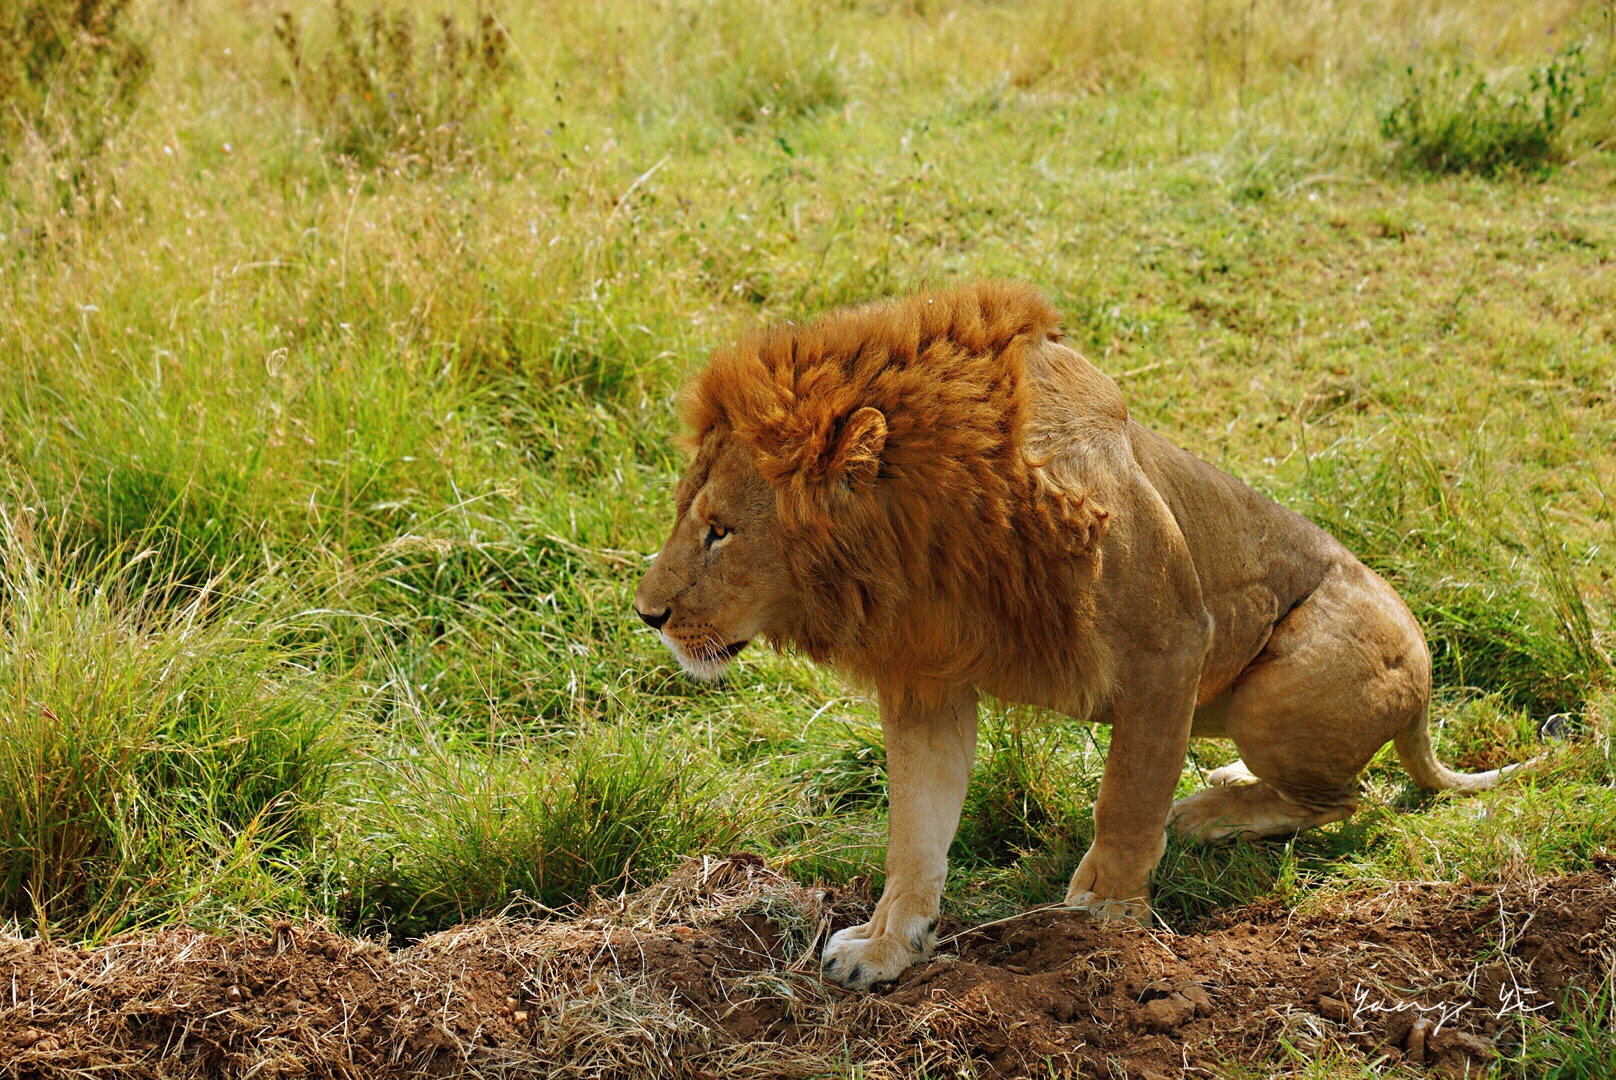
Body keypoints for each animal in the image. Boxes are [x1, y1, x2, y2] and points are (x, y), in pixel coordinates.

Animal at [627, 282, 1512, 989]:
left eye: (720, 531)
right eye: (689, 518)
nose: (647, 613)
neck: (928, 543)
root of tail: (1423, 687)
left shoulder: (1172, 642)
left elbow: (1128, 793)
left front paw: (1105, 919)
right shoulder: (927, 675)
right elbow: (915, 829)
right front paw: (885, 947)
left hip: (1282, 690)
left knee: (1346, 796)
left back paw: (1208, 814)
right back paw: (1225, 781)